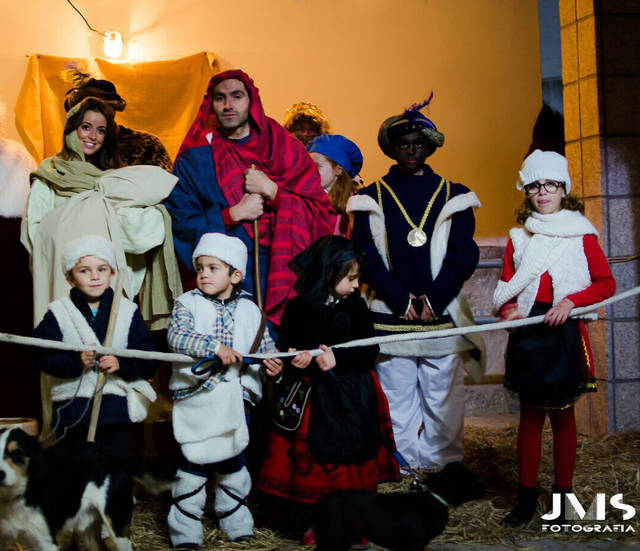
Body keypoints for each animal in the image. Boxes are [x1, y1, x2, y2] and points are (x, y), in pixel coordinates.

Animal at [0, 426, 172, 551]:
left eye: (17, 453)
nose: (0, 474)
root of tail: (111, 454)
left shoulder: (46, 542)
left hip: (117, 525)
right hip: (90, 529)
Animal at [312, 462, 482, 551]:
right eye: (472, 482)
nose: (483, 488)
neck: (433, 497)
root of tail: (320, 503)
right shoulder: (414, 545)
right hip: (332, 538)